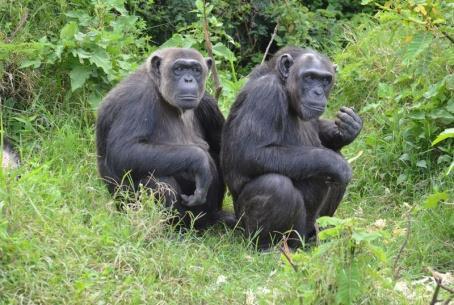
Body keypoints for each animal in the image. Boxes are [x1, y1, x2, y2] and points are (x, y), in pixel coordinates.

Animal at [97, 47, 236, 227]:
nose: (189, 79)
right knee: (158, 180)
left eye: (196, 70)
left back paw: (216, 217)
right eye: (179, 69)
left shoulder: (208, 102)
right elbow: (124, 150)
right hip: (127, 207)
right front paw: (201, 161)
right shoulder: (137, 98)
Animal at [220, 46, 362, 248]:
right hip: (255, 229)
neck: (284, 87)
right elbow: (249, 153)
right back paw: (268, 247)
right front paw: (336, 164)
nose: (318, 92)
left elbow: (319, 129)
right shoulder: (265, 94)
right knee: (275, 186)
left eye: (325, 80)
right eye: (309, 77)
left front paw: (349, 127)